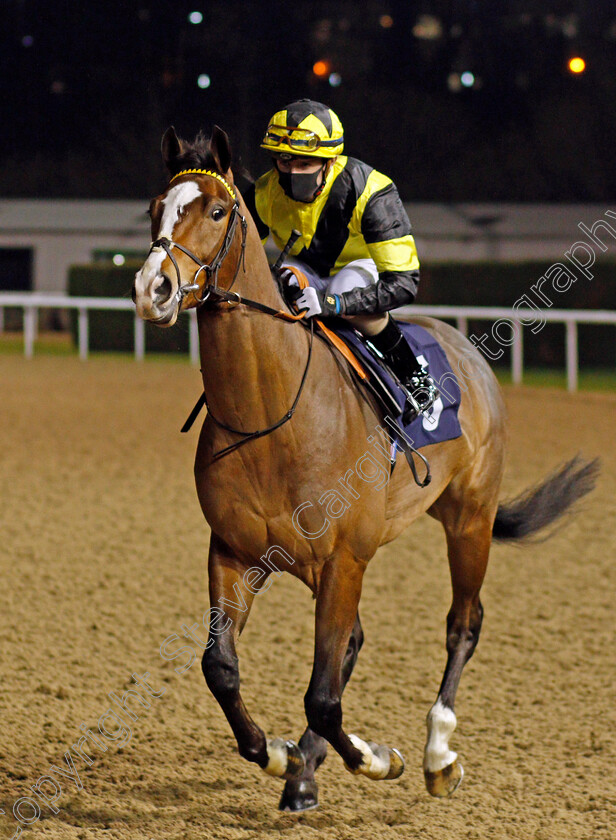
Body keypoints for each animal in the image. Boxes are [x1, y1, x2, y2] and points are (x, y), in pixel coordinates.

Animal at [134, 126, 596, 812]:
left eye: (216, 211)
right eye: (154, 209)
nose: (153, 288)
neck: (272, 414)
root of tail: (465, 349)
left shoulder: (345, 557)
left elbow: (324, 696)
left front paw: (379, 758)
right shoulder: (234, 551)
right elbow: (222, 668)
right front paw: (279, 754)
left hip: (470, 518)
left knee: (462, 625)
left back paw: (437, 753)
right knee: (351, 644)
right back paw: (306, 769)